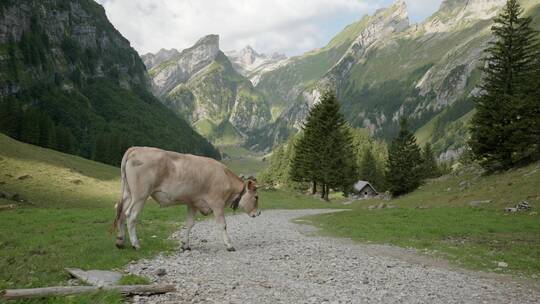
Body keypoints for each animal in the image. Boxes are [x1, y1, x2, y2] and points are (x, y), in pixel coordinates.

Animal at [112, 146, 260, 251]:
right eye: (256, 197)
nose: (258, 213)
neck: (224, 176)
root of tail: (136, 148)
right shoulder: (217, 203)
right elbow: (222, 224)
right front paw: (229, 245)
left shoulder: (193, 203)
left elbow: (189, 224)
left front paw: (186, 245)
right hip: (140, 195)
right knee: (131, 215)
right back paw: (135, 244)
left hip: (128, 193)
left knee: (120, 213)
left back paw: (120, 241)